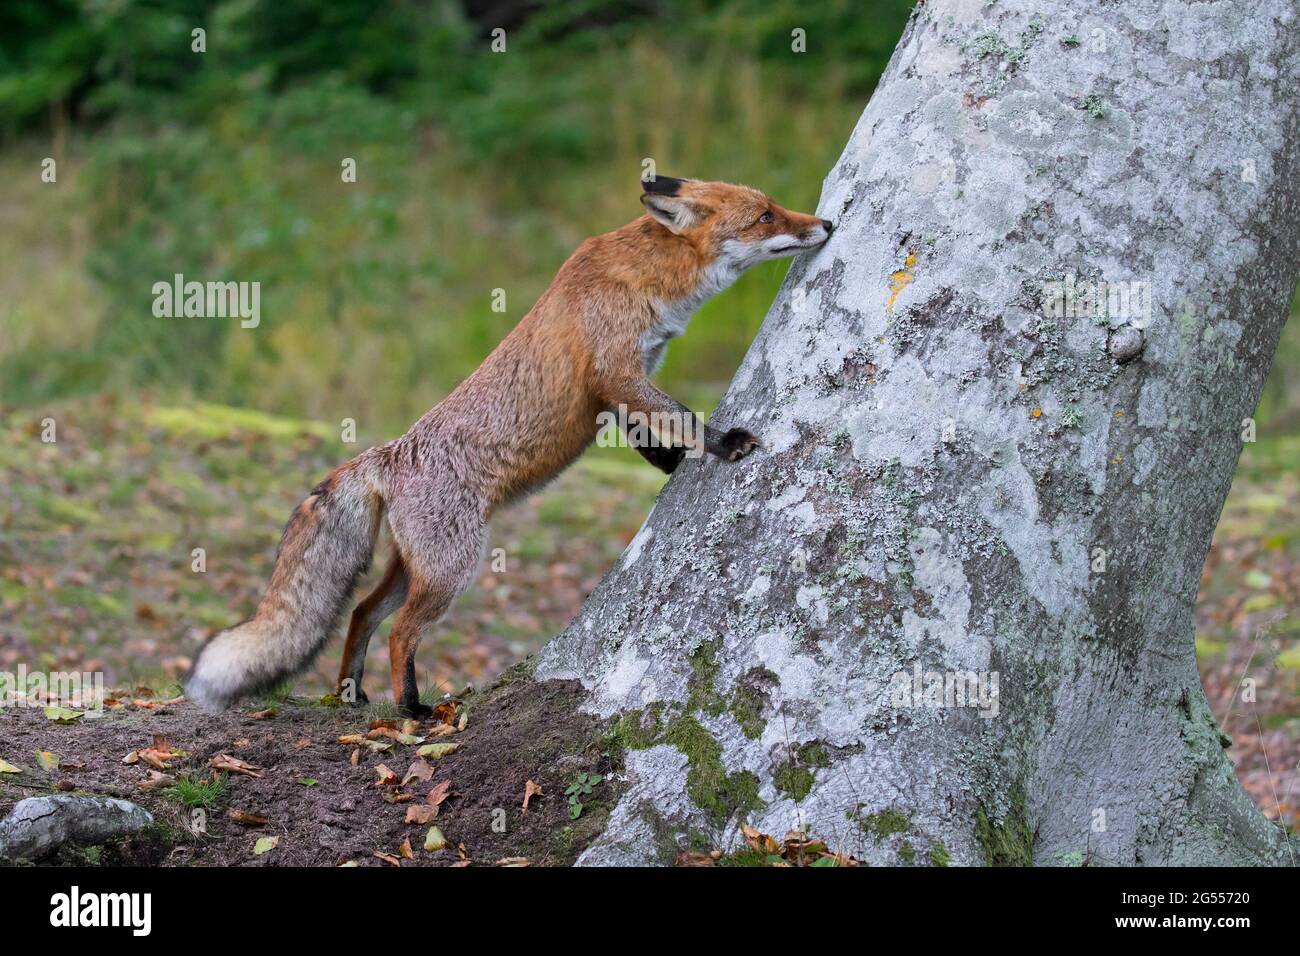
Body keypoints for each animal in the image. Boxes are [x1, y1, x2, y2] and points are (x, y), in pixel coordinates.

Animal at [185, 176, 833, 717]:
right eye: (766, 215)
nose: (826, 223)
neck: (647, 280)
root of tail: (385, 455)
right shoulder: (619, 374)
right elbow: (686, 418)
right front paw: (725, 444)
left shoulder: (621, 388)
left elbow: (649, 439)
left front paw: (675, 468)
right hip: (455, 567)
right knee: (399, 632)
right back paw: (412, 710)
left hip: (415, 567)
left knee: (363, 611)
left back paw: (352, 693)